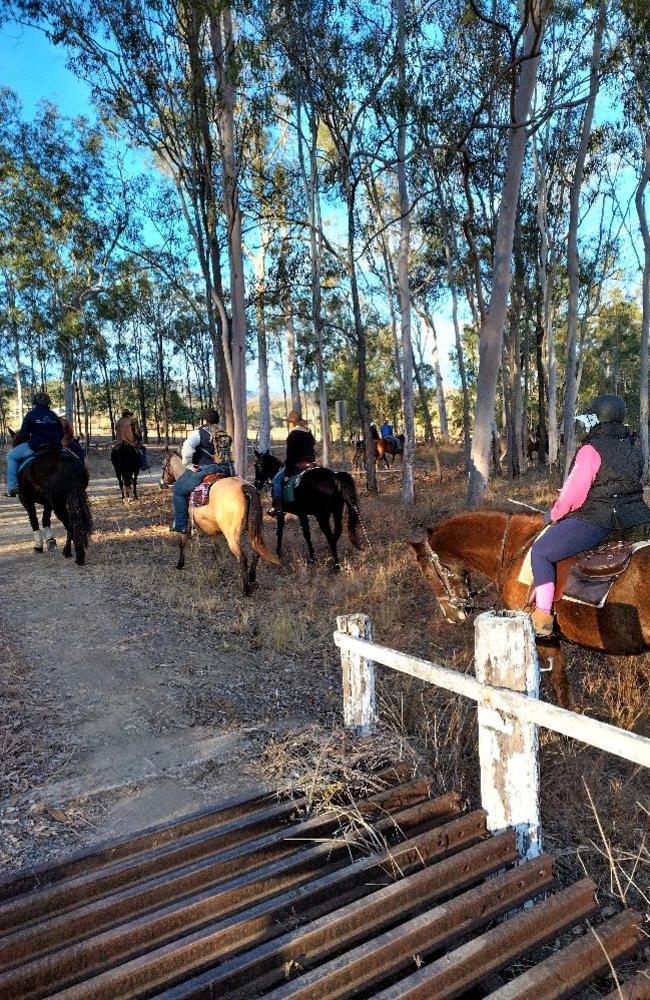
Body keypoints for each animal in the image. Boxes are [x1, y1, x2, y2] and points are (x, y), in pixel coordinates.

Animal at [161, 452, 278, 592]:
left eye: (163, 466)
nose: (162, 483)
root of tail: (244, 487)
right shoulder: (212, 532)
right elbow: (217, 551)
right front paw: (220, 569)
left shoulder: (187, 525)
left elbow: (182, 543)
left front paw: (180, 564)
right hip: (254, 531)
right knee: (256, 552)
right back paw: (252, 577)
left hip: (232, 536)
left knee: (242, 558)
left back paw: (245, 590)